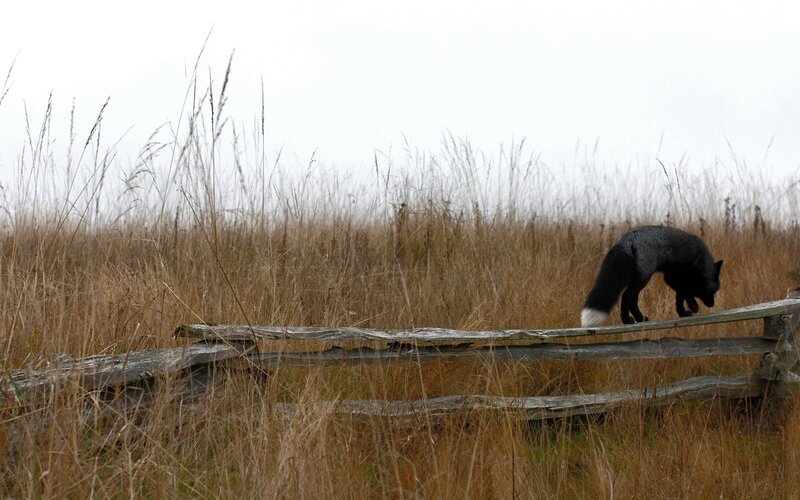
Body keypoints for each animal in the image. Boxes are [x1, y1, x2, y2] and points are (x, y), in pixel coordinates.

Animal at [580, 226, 723, 327]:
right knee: (626, 296)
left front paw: (683, 312)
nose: (712, 304)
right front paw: (692, 307)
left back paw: (640, 318)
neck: (701, 261)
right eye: (714, 291)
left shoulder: (672, 278)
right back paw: (627, 320)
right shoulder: (679, 278)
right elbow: (685, 293)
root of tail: (627, 238)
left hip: (638, 279)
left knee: (633, 300)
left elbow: (680, 297)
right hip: (643, 278)